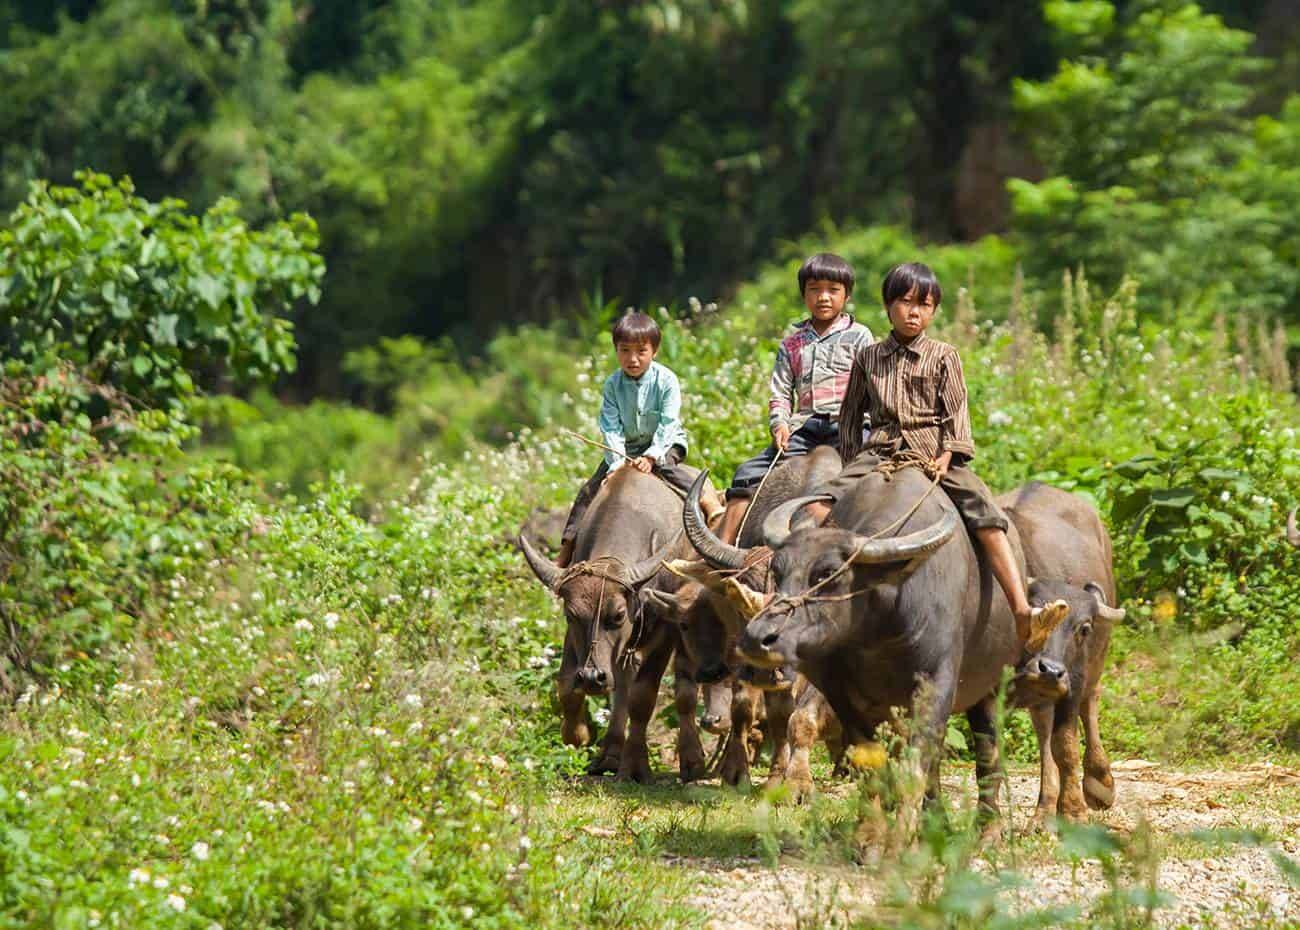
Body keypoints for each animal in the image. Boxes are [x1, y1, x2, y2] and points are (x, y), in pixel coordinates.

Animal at [517, 468, 702, 780]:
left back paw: (692, 760)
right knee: (622, 683)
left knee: (684, 689)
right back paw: (611, 754)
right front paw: (578, 734)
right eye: (571, 615)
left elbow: (642, 697)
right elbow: (567, 685)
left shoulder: (663, 633)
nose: (592, 678)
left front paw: (636, 766)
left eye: (617, 615)